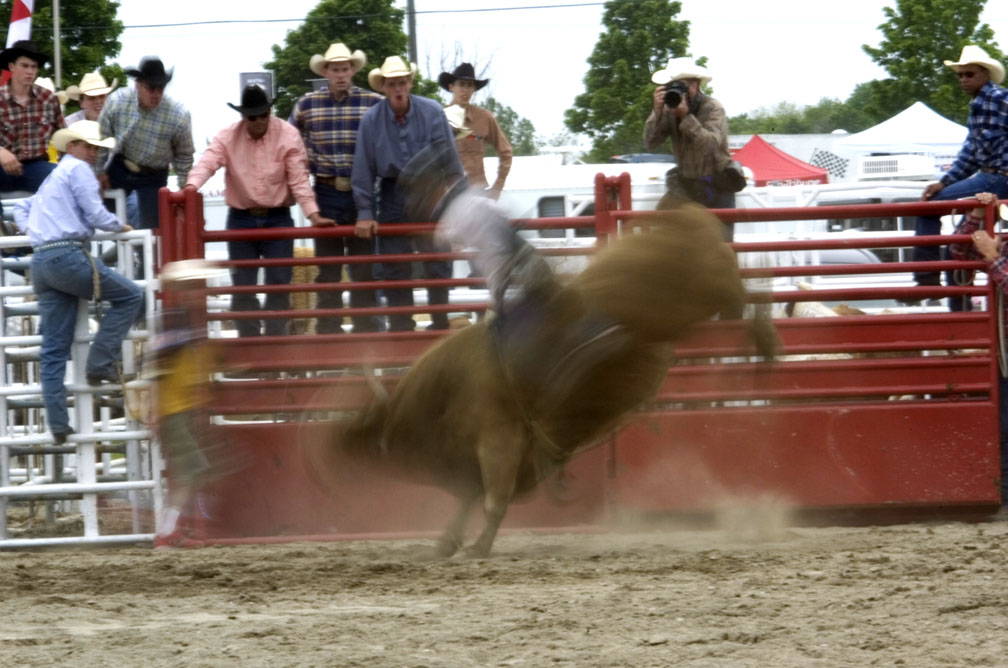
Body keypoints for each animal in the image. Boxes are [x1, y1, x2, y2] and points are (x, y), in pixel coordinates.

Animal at [320, 205, 770, 560]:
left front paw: (476, 548)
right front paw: (448, 542)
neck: (447, 389)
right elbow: (470, 497)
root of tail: (686, 215)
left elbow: (493, 501)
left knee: (740, 292)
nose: (337, 444)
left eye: (365, 422)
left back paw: (767, 334)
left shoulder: (499, 442)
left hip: (704, 290)